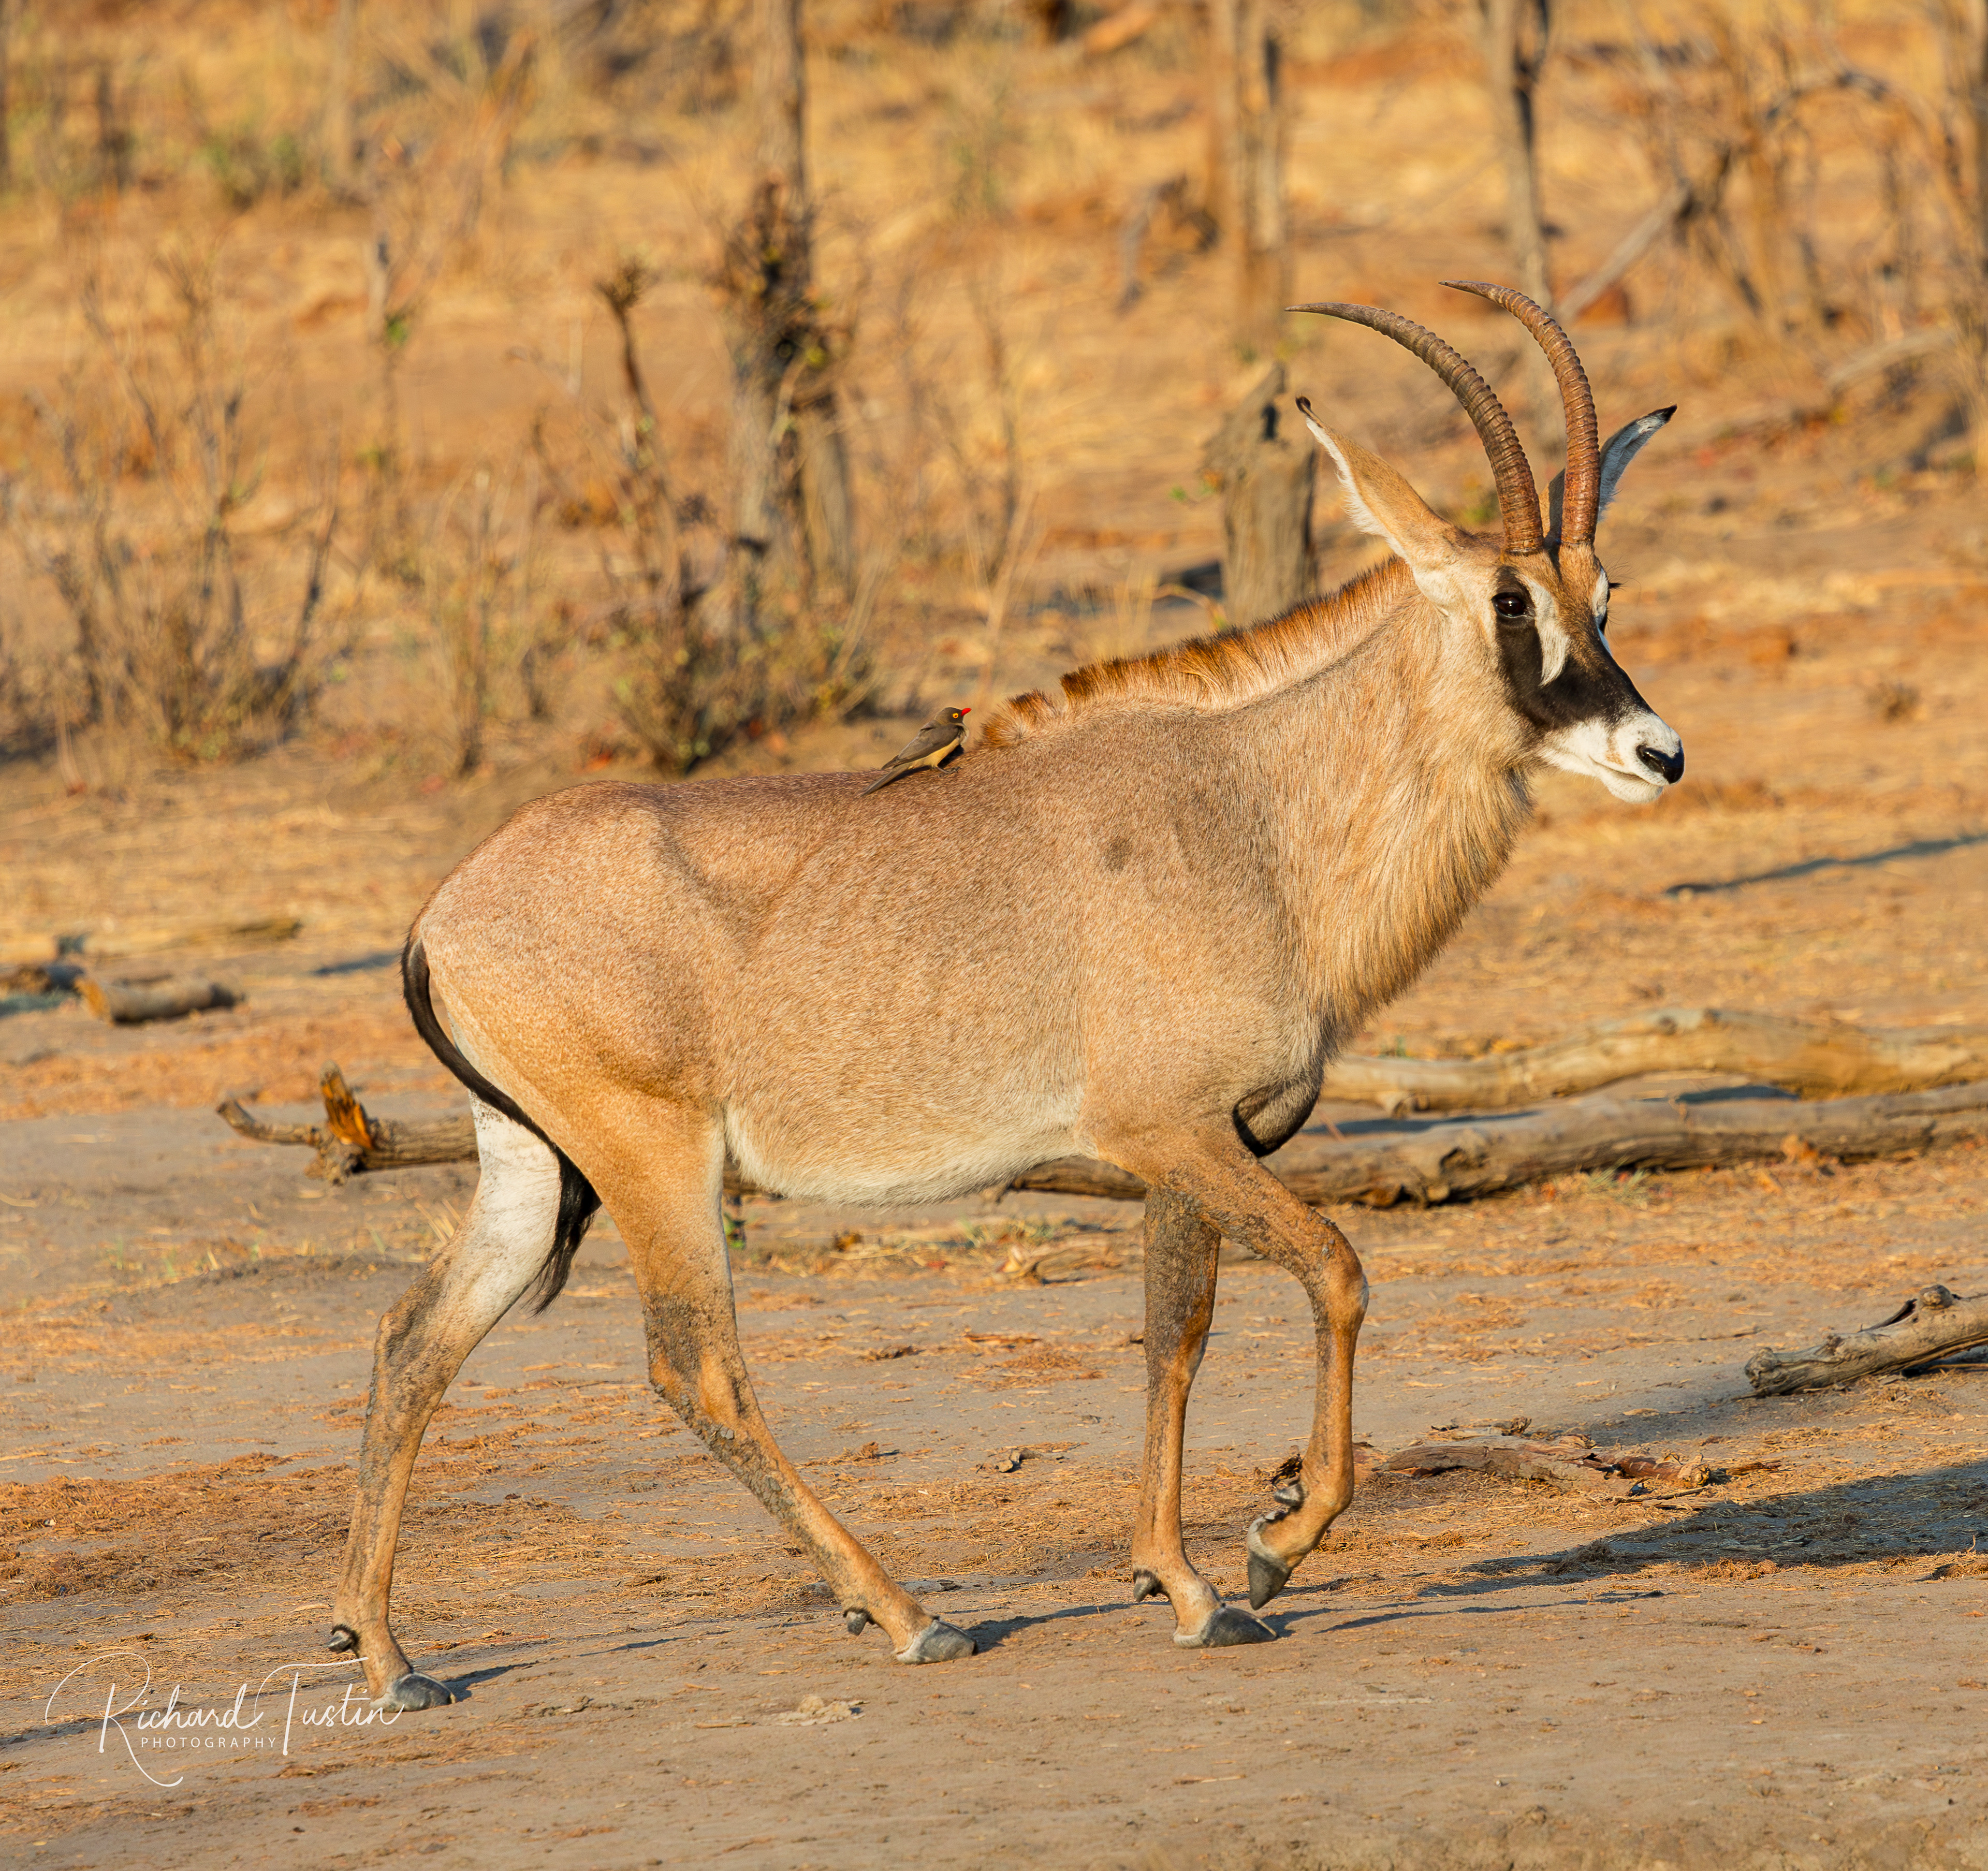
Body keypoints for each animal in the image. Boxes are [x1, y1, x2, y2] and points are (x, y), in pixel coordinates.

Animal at [328, 283, 1683, 1708]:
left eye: (1603, 592)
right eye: (1508, 599)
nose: (1657, 752)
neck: (1250, 809)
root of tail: (443, 913)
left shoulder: (1199, 1147)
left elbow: (1176, 1330)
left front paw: (1183, 1581)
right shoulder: (1169, 1130)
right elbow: (1338, 1269)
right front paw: (1273, 1547)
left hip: (531, 1162)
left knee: (414, 1338)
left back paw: (388, 1651)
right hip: (654, 1159)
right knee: (697, 1368)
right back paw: (907, 1612)